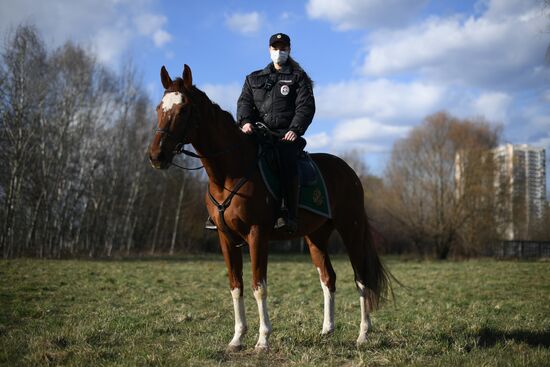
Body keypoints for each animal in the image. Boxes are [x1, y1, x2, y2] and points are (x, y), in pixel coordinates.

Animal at [150, 64, 392, 352]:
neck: (230, 172)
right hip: (316, 236)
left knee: (361, 277)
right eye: (159, 108)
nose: (156, 155)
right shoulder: (225, 238)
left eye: (184, 109)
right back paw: (327, 330)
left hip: (350, 229)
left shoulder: (257, 234)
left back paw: (363, 334)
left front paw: (263, 339)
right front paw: (237, 338)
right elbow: (236, 285)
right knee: (328, 278)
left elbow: (259, 286)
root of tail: (349, 172)